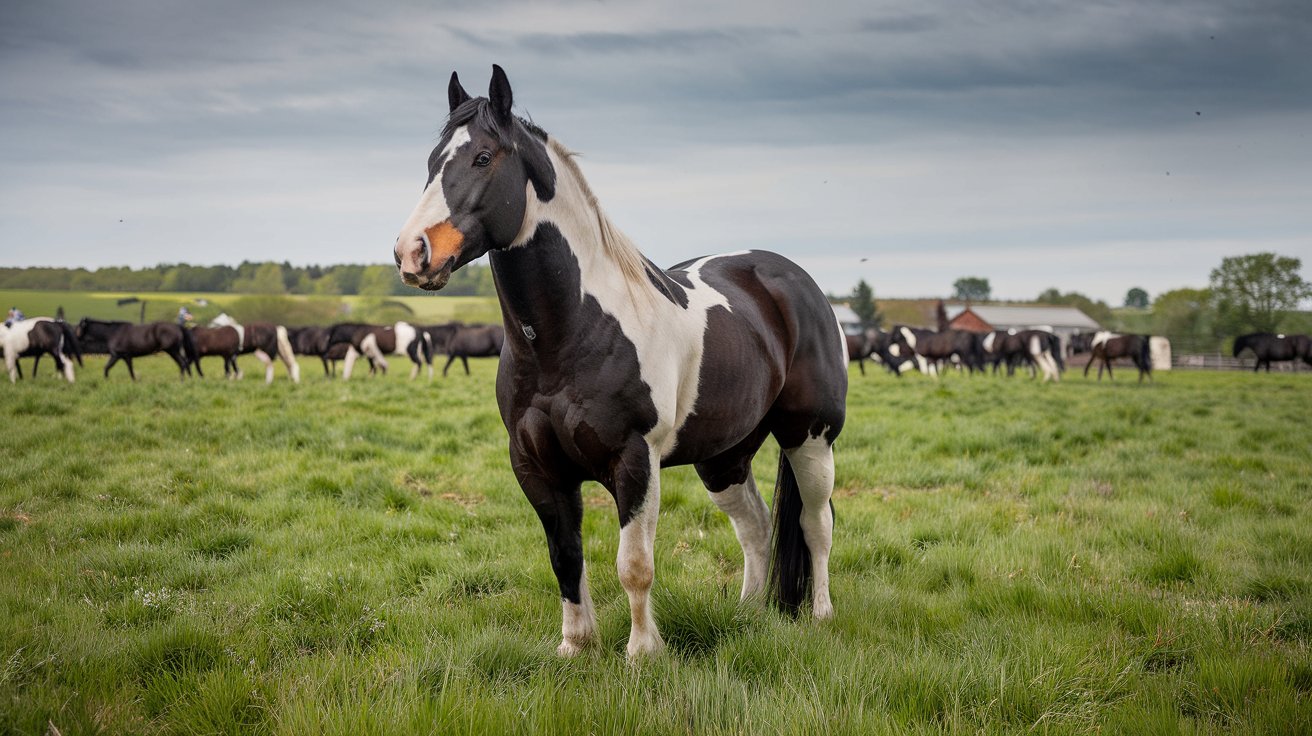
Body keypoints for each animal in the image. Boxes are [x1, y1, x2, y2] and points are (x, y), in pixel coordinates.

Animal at [388, 65, 844, 655]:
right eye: (431, 161)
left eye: (483, 157)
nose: (413, 252)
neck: (569, 339)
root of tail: (792, 281)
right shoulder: (536, 467)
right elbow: (565, 558)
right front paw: (576, 646)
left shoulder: (635, 462)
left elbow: (634, 565)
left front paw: (642, 653)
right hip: (724, 456)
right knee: (756, 526)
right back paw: (748, 615)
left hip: (809, 439)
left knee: (816, 524)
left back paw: (822, 615)